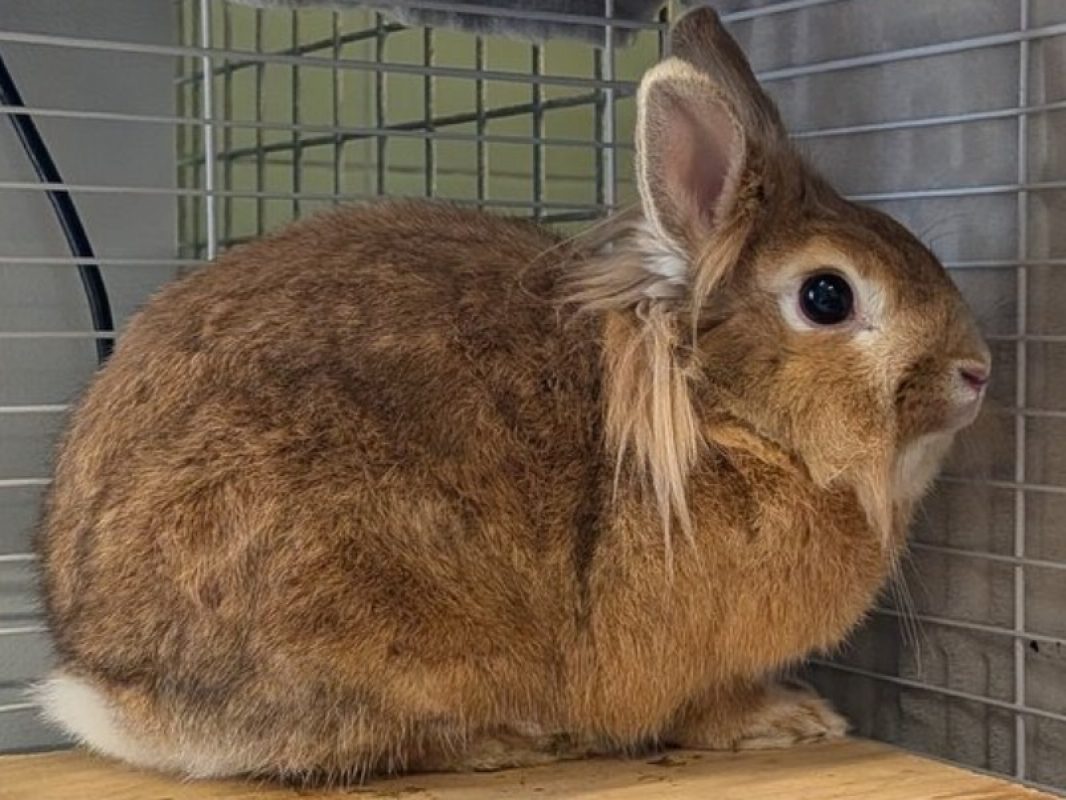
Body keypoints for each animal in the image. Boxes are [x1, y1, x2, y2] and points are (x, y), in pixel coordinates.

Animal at [34, 6, 990, 785]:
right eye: (827, 296)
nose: (977, 372)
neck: (724, 418)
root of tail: (111, 686)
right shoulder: (681, 660)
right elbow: (702, 710)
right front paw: (795, 719)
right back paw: (519, 742)